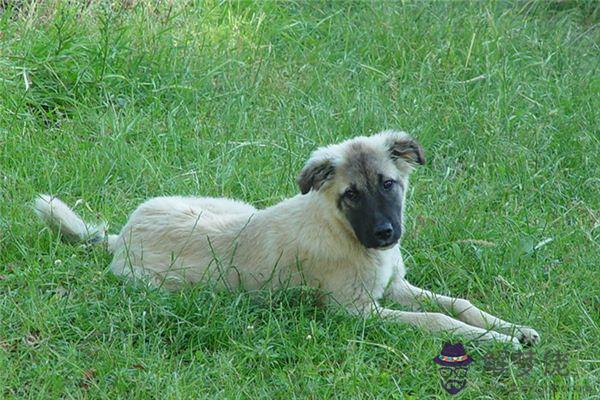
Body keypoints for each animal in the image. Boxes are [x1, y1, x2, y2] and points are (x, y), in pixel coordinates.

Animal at [35, 130, 540, 346]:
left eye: (388, 184)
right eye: (351, 195)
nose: (385, 234)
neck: (341, 230)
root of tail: (120, 238)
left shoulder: (395, 287)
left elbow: (459, 305)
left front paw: (513, 328)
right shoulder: (357, 313)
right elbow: (436, 321)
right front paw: (498, 342)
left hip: (232, 204)